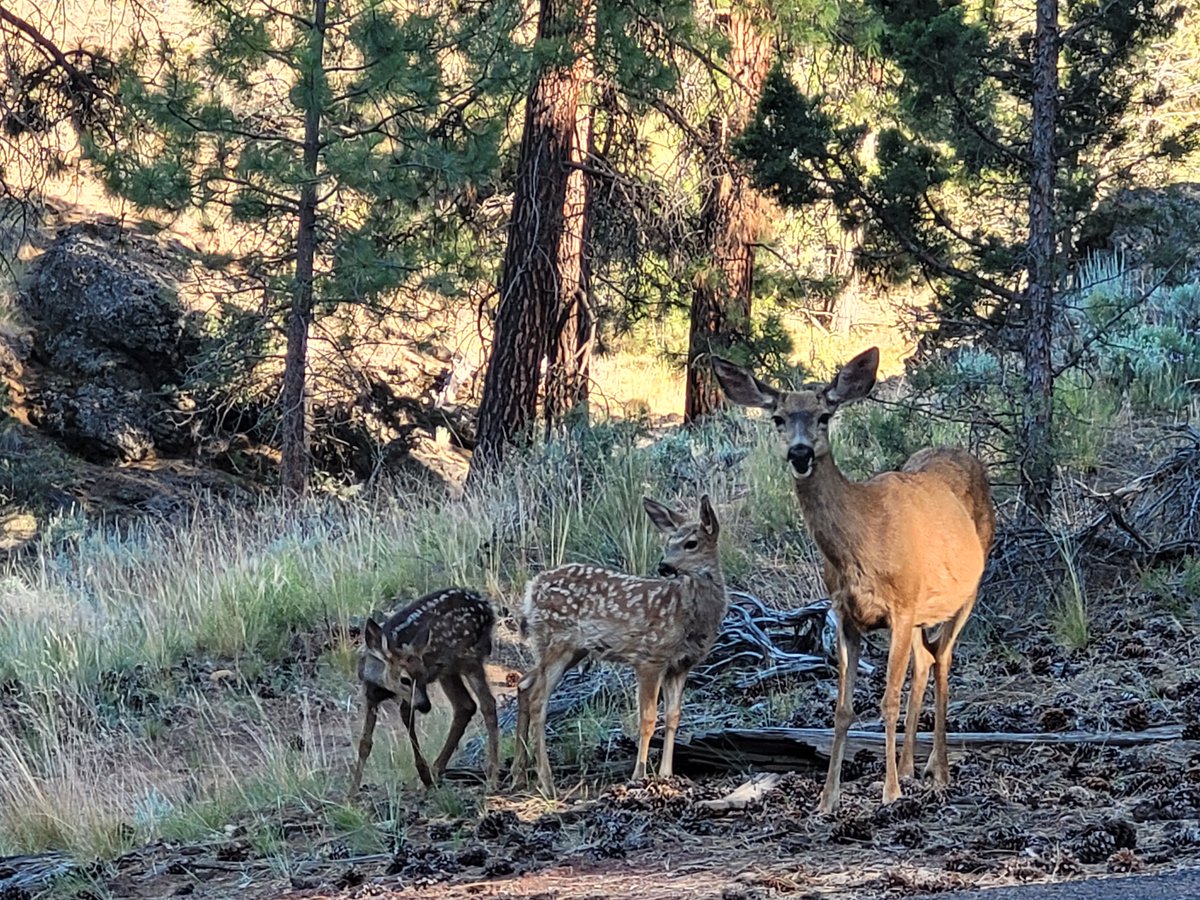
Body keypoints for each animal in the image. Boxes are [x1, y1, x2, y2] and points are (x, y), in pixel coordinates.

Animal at [350, 592, 499, 796]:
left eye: (424, 674)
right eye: (405, 679)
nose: (426, 706)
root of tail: (488, 608)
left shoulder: (412, 694)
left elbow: (406, 717)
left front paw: (424, 774)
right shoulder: (371, 696)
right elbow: (365, 743)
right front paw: (351, 793)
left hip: (469, 657)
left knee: (488, 704)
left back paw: (491, 779)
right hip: (448, 669)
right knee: (466, 706)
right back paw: (437, 771)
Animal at [511, 496, 724, 801]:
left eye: (691, 543)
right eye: (668, 542)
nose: (664, 566)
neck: (689, 615)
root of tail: (531, 587)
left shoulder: (680, 665)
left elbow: (673, 717)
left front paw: (667, 775)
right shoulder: (650, 657)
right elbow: (647, 719)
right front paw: (639, 776)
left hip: (567, 649)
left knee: (524, 686)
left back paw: (518, 775)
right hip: (556, 641)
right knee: (539, 699)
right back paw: (547, 782)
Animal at [710, 348, 993, 816]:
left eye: (825, 415)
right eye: (778, 418)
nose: (800, 453)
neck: (862, 543)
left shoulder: (901, 606)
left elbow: (887, 699)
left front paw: (890, 792)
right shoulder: (844, 613)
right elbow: (842, 709)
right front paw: (828, 799)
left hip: (967, 592)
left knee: (945, 663)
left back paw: (939, 772)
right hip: (923, 614)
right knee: (926, 661)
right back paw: (913, 767)